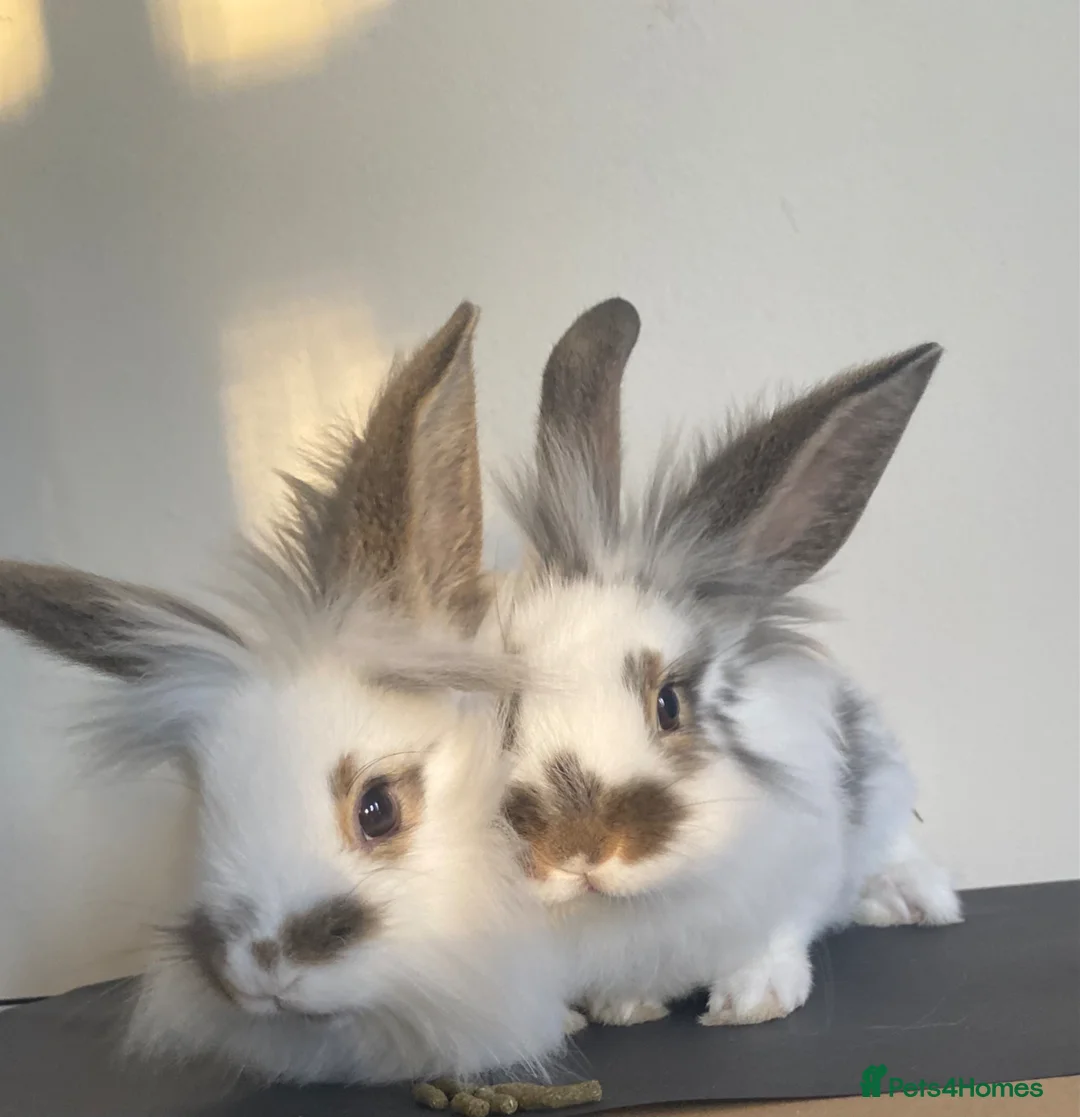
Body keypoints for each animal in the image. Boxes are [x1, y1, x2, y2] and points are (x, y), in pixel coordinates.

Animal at [488, 298, 962, 1032]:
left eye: (669, 704)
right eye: (506, 711)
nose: (577, 846)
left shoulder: (795, 876)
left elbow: (773, 943)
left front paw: (752, 1003)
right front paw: (624, 1008)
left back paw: (917, 901)